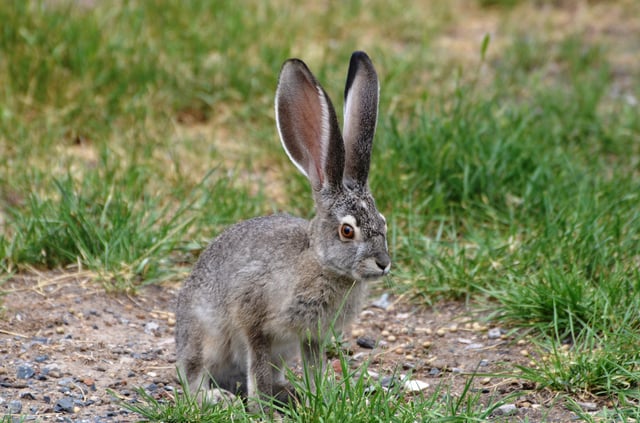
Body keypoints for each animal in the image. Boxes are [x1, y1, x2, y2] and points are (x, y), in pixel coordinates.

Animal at [178, 51, 392, 410]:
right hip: (205, 337)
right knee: (195, 376)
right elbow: (257, 365)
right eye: (347, 231)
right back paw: (218, 398)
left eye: (383, 221)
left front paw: (321, 396)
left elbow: (314, 365)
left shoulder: (310, 336)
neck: (319, 263)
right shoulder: (253, 319)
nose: (384, 263)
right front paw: (260, 408)